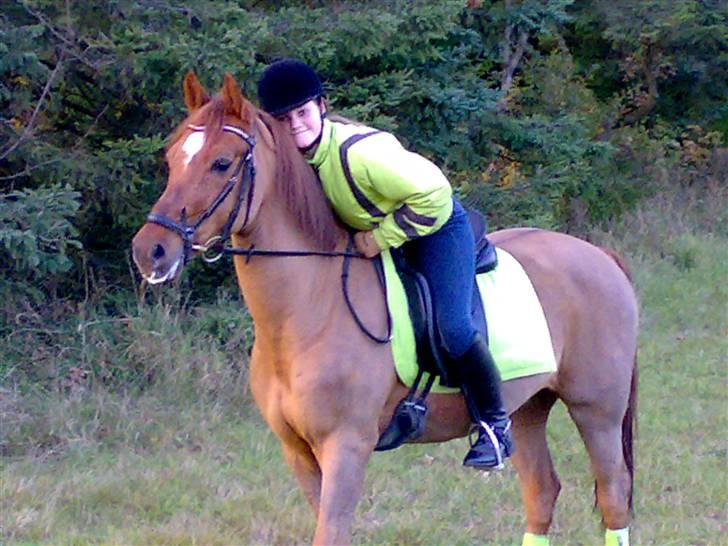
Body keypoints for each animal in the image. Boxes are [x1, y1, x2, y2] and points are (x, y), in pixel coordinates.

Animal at [132, 72, 638, 546]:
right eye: (172, 159)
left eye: (221, 163)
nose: (149, 251)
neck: (311, 311)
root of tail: (600, 255)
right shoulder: (298, 453)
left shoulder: (346, 448)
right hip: (529, 407)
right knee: (541, 493)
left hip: (596, 410)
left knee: (614, 497)